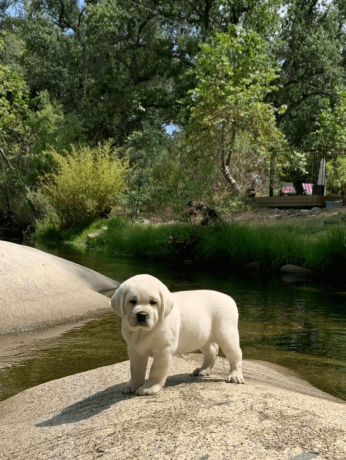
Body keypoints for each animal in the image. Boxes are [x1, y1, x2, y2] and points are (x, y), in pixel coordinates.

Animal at [112, 274, 245, 396]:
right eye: (132, 301)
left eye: (153, 302)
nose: (142, 315)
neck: (142, 331)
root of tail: (229, 298)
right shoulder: (134, 349)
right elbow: (135, 369)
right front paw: (132, 385)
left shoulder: (163, 350)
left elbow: (156, 370)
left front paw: (149, 387)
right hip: (202, 336)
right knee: (211, 351)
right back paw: (203, 370)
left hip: (226, 333)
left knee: (235, 354)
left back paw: (235, 375)